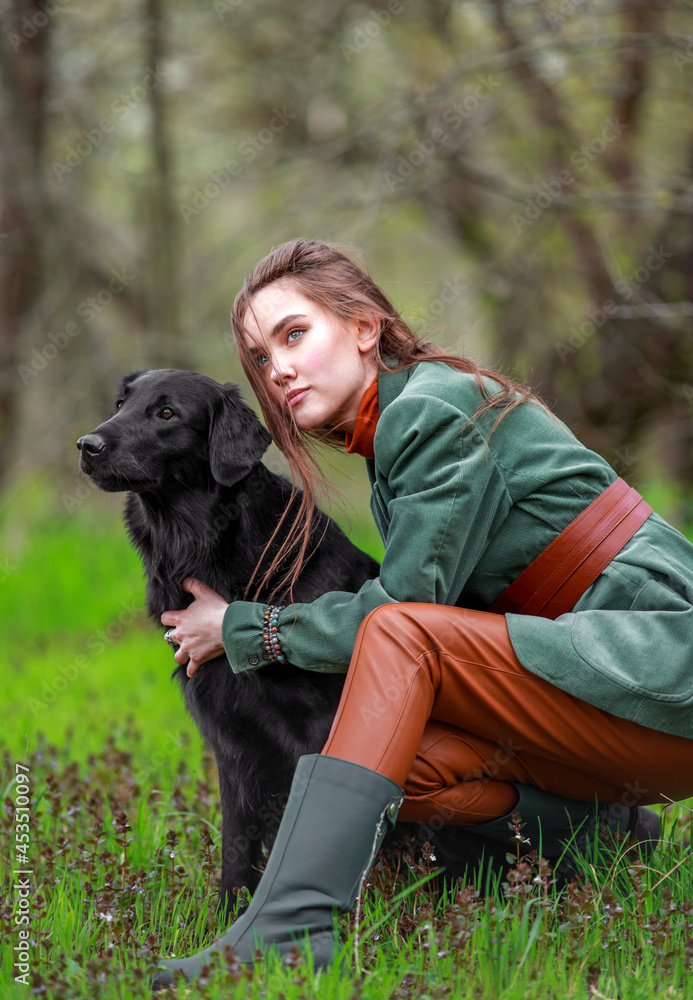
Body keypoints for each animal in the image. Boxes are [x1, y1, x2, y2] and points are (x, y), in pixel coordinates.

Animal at [79, 368, 502, 916]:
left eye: (167, 413)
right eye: (121, 404)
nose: (87, 445)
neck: (207, 549)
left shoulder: (321, 726)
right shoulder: (229, 738)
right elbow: (236, 844)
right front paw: (227, 917)